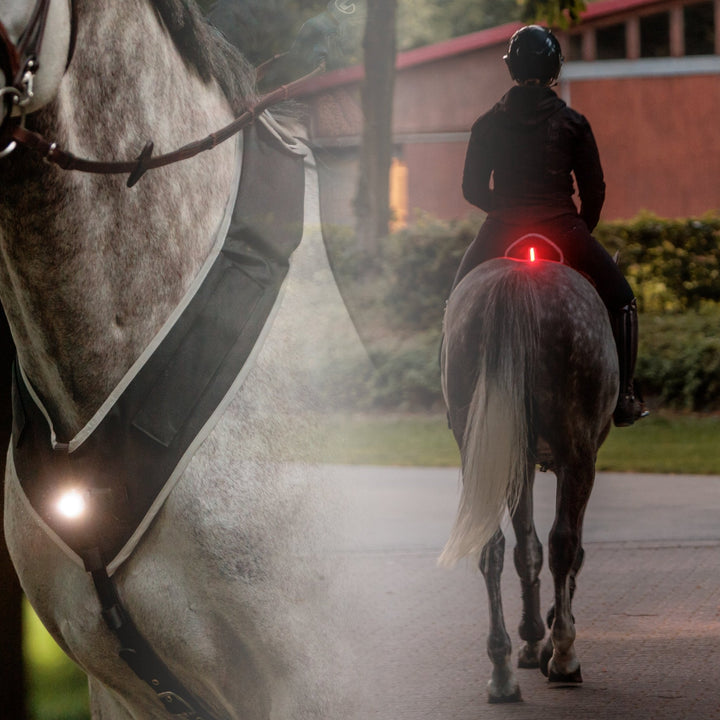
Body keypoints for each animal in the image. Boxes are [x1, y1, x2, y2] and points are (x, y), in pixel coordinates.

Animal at [439, 249, 619, 703]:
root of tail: (519, 276)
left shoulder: (517, 460)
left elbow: (526, 549)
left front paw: (532, 637)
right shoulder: (580, 457)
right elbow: (565, 547)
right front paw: (550, 638)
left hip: (487, 448)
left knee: (493, 546)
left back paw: (501, 670)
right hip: (578, 453)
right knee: (563, 544)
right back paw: (564, 658)